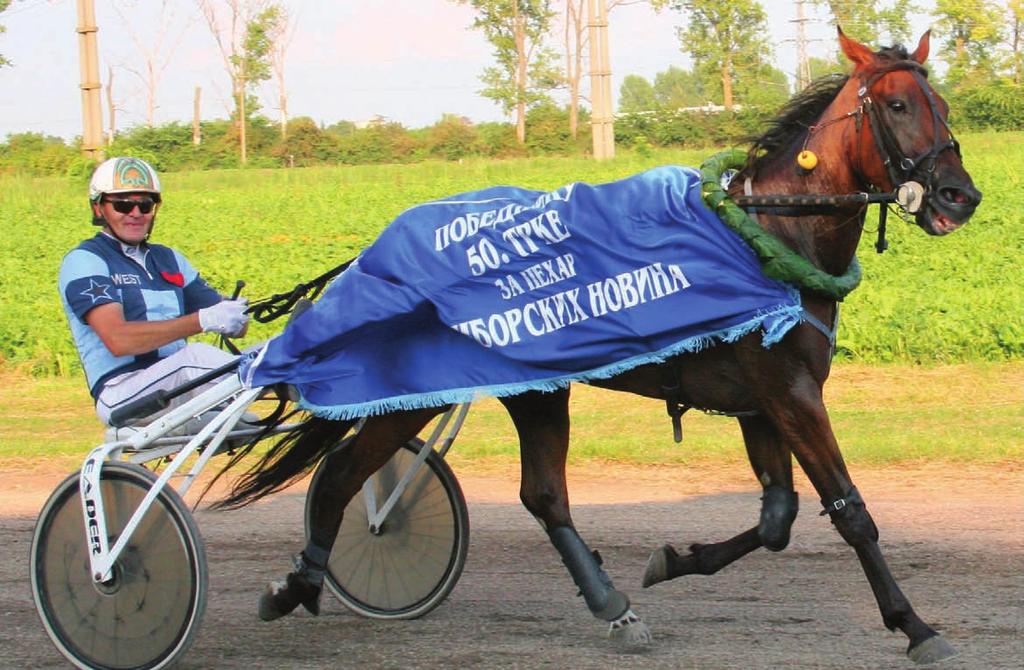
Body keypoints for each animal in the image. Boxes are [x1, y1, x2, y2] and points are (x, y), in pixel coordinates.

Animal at [220, 30, 978, 667]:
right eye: (899, 104)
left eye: (943, 105)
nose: (958, 195)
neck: (770, 237)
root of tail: (376, 257)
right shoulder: (788, 393)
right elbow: (850, 511)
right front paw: (915, 626)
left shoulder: (761, 401)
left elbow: (777, 519)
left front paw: (673, 559)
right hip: (411, 392)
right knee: (343, 479)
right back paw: (294, 586)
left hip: (535, 388)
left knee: (543, 495)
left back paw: (613, 606)